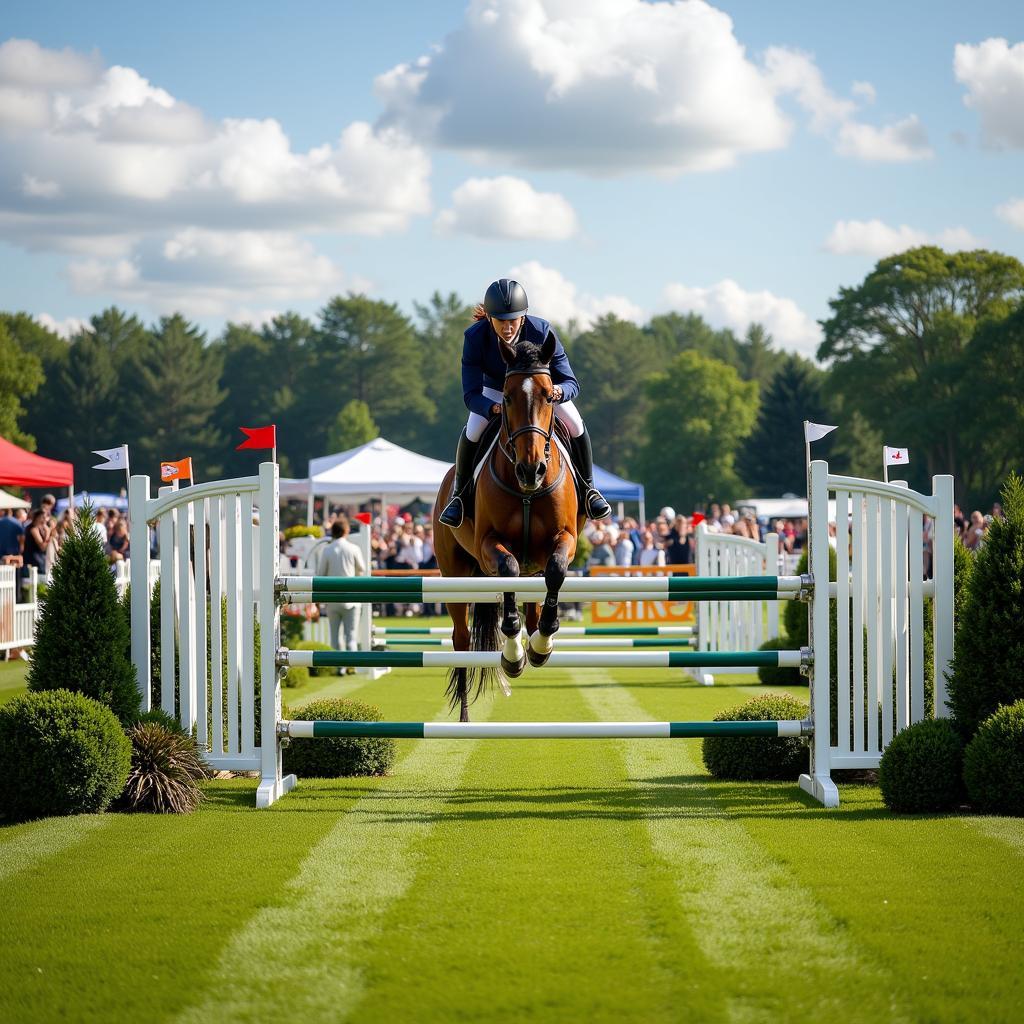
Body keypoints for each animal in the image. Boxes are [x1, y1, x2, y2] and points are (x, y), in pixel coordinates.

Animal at [430, 331, 585, 716]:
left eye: (549, 395)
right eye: (508, 397)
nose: (532, 470)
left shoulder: (566, 538)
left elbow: (556, 571)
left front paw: (541, 643)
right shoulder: (490, 544)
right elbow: (508, 570)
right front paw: (513, 655)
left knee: (533, 603)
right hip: (455, 575)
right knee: (461, 639)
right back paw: (465, 716)